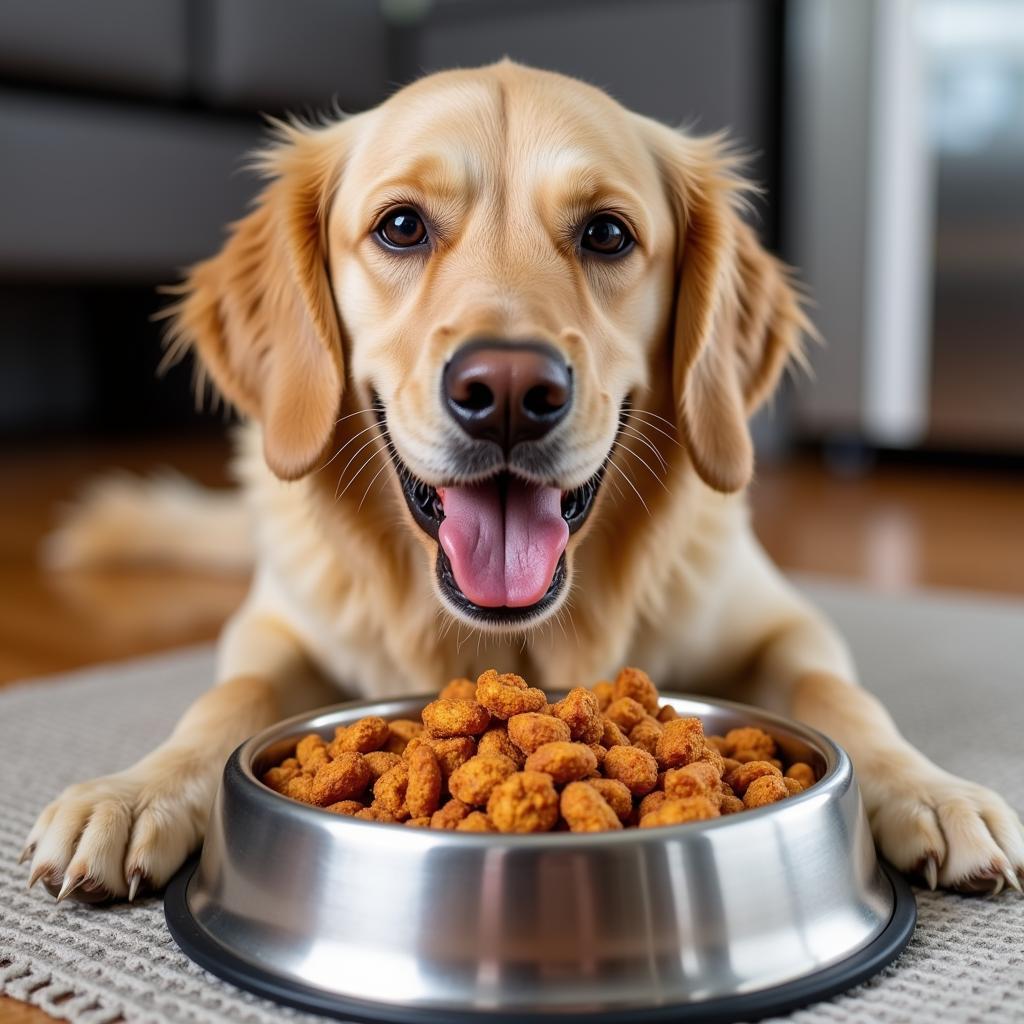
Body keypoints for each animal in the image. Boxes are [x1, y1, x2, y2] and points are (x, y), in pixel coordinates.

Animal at [22, 61, 1015, 905]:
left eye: (607, 233)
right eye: (401, 226)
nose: (505, 393)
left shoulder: (782, 622)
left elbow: (840, 694)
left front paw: (930, 790)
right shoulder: (271, 629)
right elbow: (224, 700)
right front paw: (134, 792)